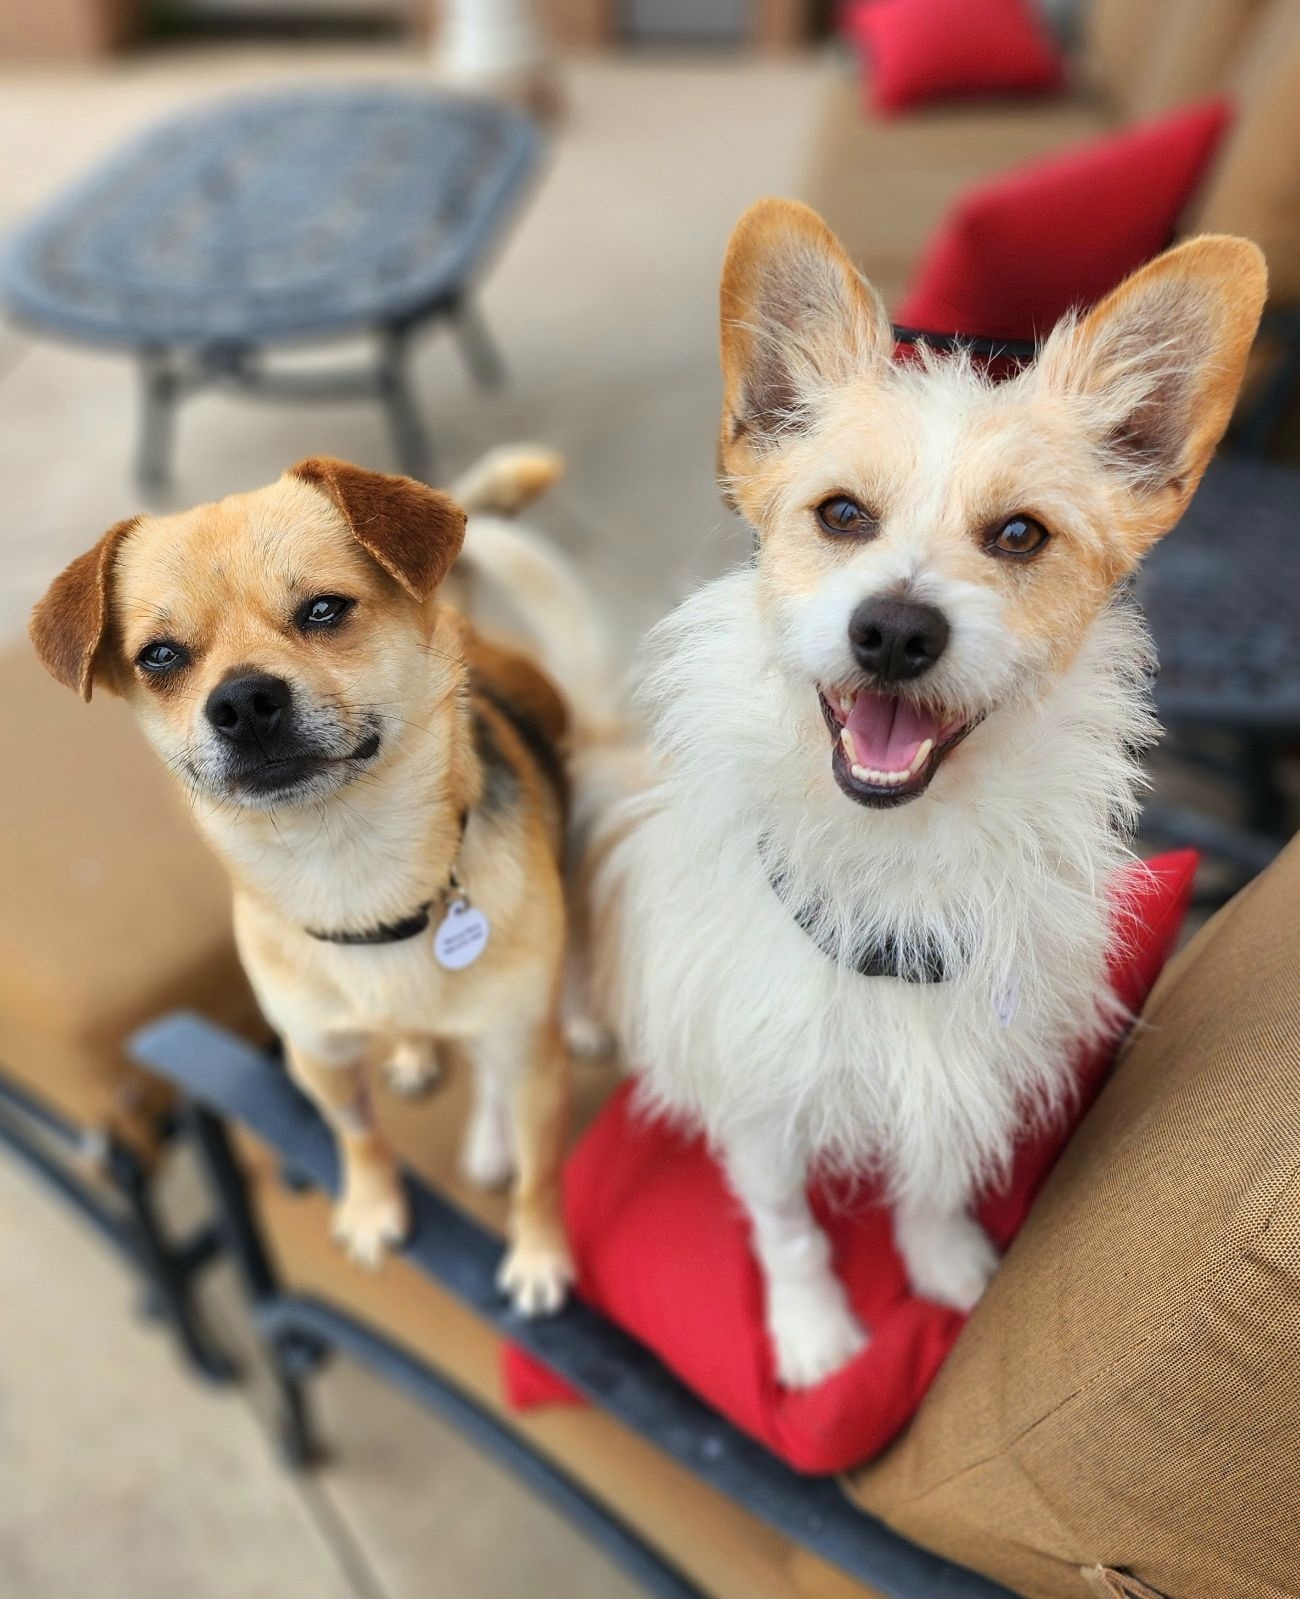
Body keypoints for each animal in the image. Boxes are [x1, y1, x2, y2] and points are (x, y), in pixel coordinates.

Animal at [30, 450, 582, 1311]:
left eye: (324, 609)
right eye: (160, 656)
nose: (242, 699)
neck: (350, 866)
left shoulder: (529, 1061)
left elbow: (538, 1171)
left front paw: (537, 1254)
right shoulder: (316, 1053)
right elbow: (356, 1133)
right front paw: (371, 1208)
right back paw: (412, 1051)